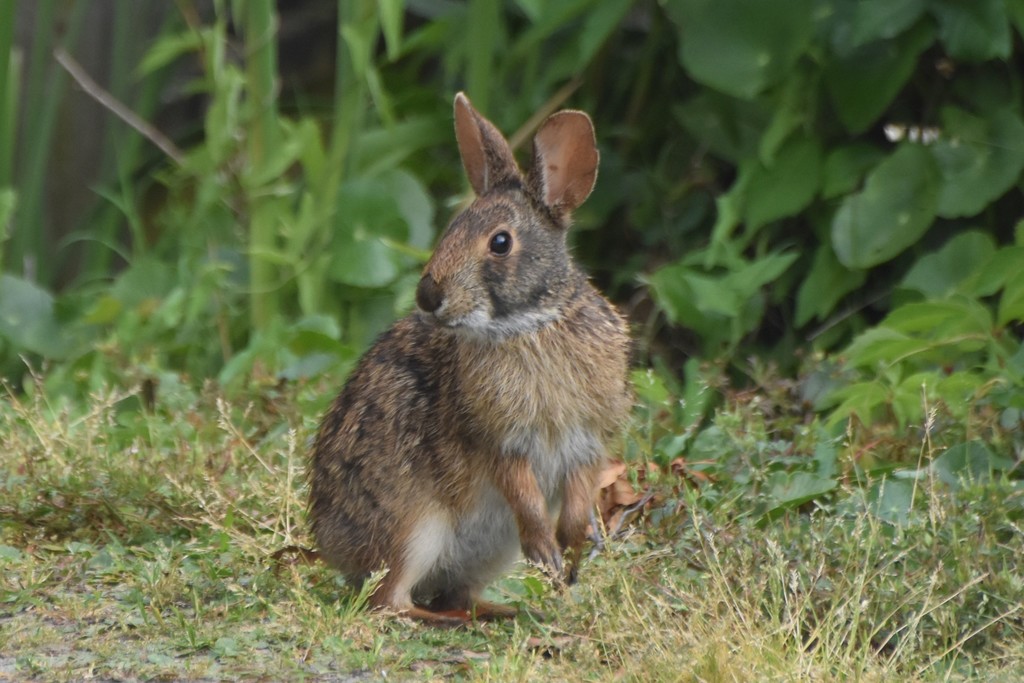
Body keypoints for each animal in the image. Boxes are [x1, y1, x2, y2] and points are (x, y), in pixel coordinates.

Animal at [309, 92, 631, 625]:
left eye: (500, 242)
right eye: (450, 229)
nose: (427, 295)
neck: (531, 325)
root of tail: (332, 546)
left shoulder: (587, 439)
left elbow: (578, 493)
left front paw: (571, 548)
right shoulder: (498, 439)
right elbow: (524, 495)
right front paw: (550, 551)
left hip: (486, 550)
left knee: (452, 592)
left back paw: (506, 611)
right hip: (415, 526)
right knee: (389, 602)